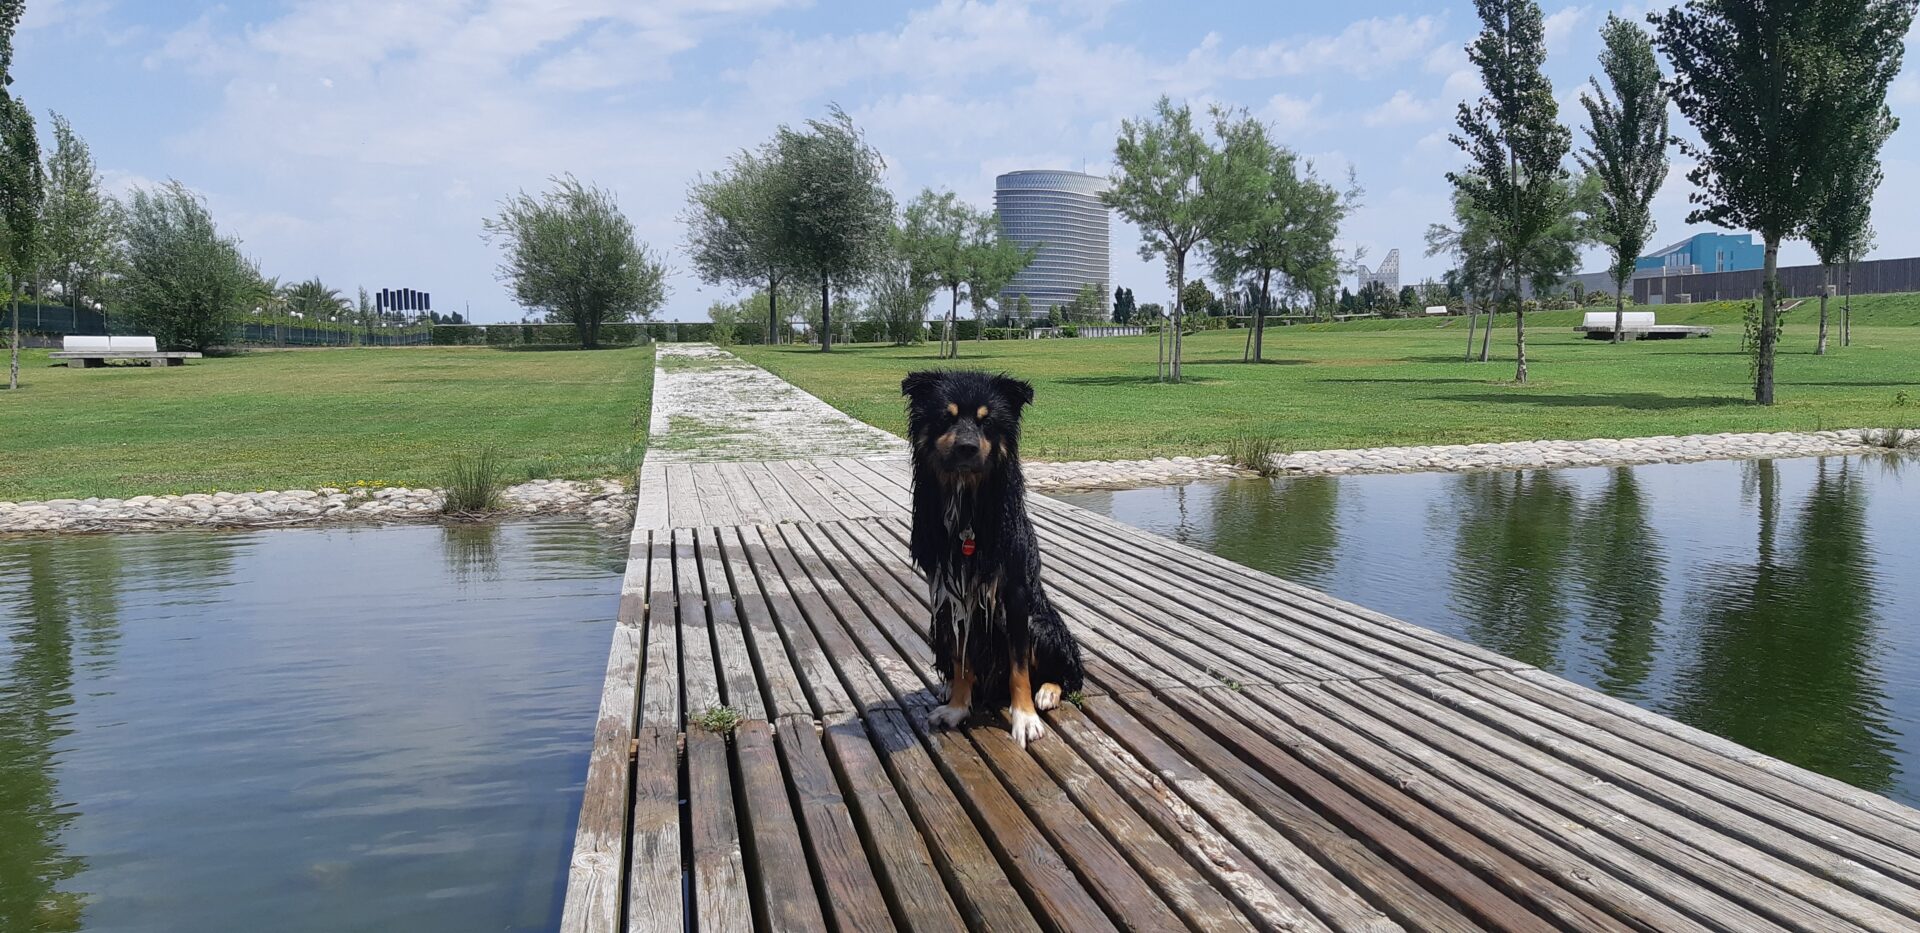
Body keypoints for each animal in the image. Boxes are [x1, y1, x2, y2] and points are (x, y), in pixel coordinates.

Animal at [898, 368, 1082, 748]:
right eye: (946, 417)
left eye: (988, 422)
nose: (967, 447)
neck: (966, 501)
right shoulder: (950, 596)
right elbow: (962, 657)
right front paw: (957, 707)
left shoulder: (1014, 594)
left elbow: (1019, 666)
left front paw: (1025, 717)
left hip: (1041, 623)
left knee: (1068, 673)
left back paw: (1048, 692)